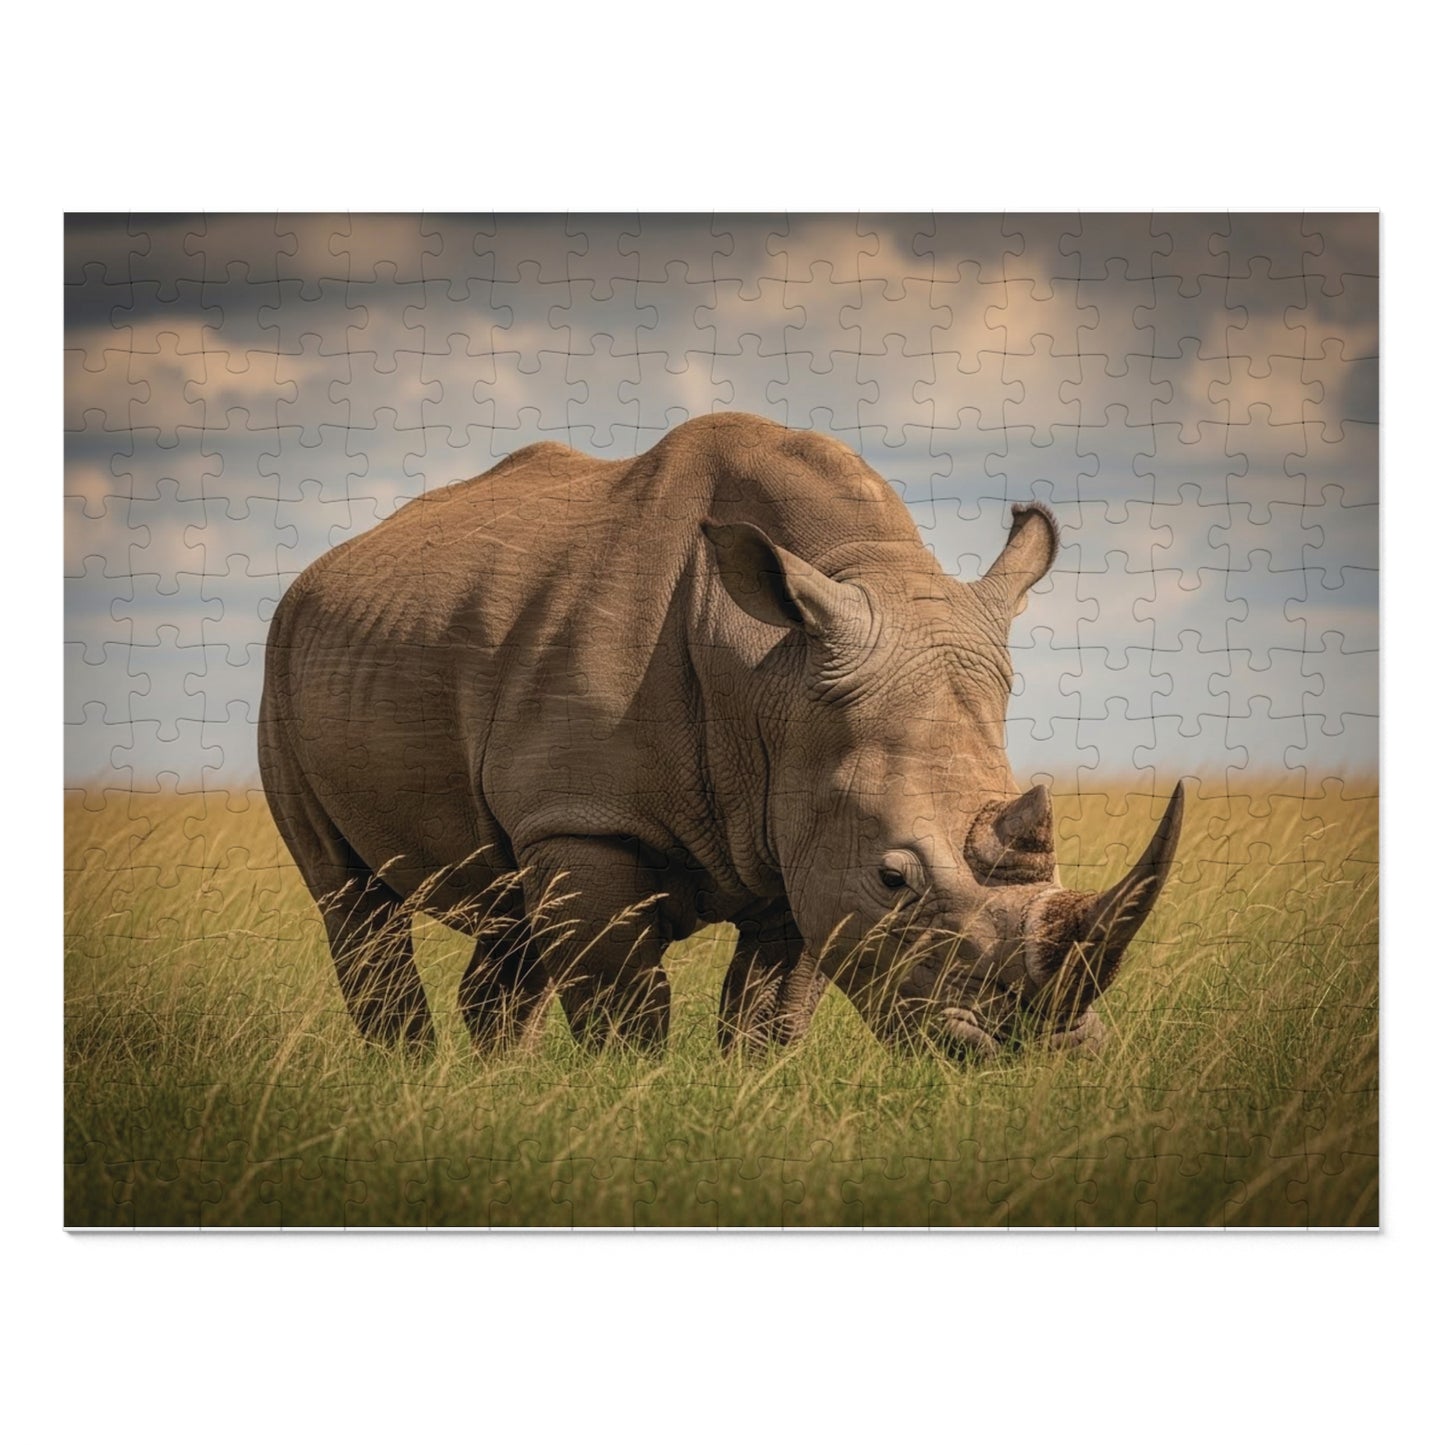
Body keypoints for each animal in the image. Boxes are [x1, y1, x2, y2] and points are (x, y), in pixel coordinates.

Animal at [259, 412, 1181, 1059]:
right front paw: (629, 1099)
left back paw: (491, 1085)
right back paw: (411, 1074)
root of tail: (325, 568)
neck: (774, 676)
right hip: (282, 660)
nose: (1044, 1049)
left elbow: (769, 1013)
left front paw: (747, 1096)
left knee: (508, 913)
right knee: (352, 903)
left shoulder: (799, 827)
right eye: (893, 879)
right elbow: (624, 1008)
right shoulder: (587, 819)